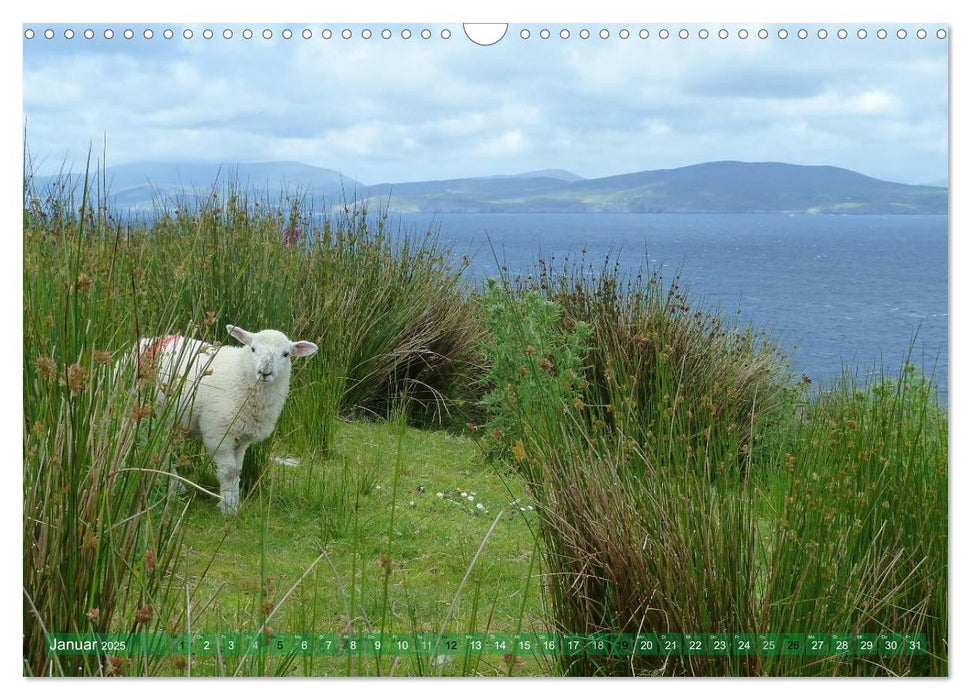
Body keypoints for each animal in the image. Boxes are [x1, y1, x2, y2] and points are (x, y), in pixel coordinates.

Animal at [136, 324, 318, 516]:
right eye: (253, 349)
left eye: (286, 354)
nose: (264, 372)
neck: (240, 374)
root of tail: (151, 340)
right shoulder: (217, 434)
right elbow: (229, 472)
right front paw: (228, 508)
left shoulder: (243, 438)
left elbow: (237, 470)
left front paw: (233, 502)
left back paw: (175, 486)